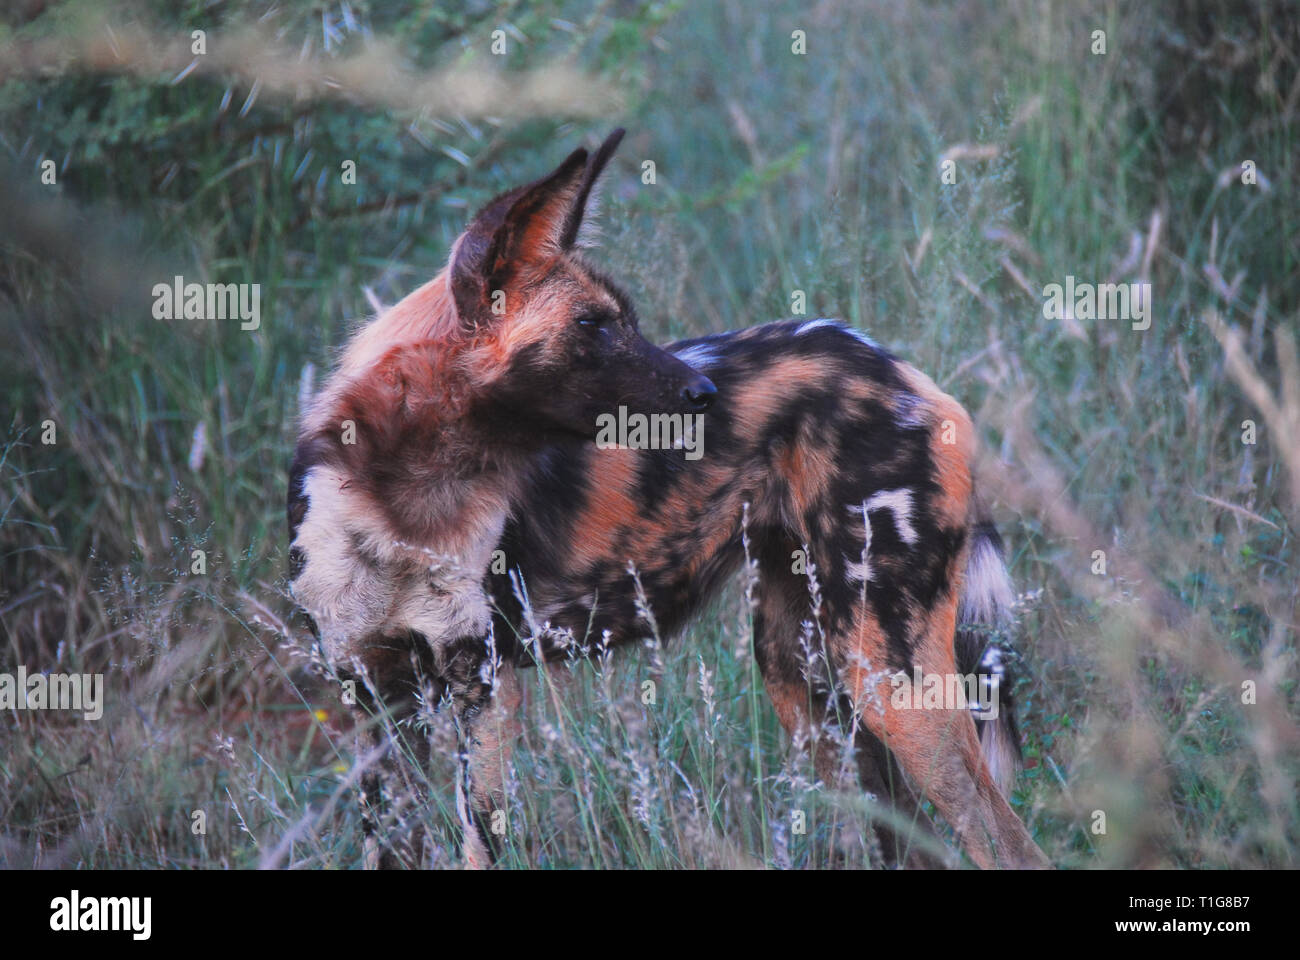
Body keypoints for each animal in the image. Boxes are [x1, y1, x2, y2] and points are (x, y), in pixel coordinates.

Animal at [289, 128, 1050, 868]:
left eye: (626, 320)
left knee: (1007, 846)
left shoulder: (484, 687)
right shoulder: (377, 699)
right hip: (806, 683)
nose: (703, 392)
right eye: (592, 326)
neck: (402, 500)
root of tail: (903, 375)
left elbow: (480, 844)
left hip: (891, 684)